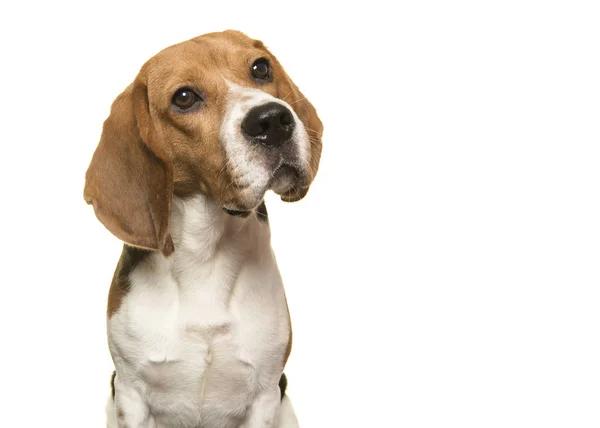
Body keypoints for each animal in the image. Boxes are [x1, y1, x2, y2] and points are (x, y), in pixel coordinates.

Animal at [84, 30, 324, 428]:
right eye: (184, 98)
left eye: (261, 68)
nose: (272, 120)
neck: (206, 252)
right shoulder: (130, 395)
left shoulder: (265, 394)